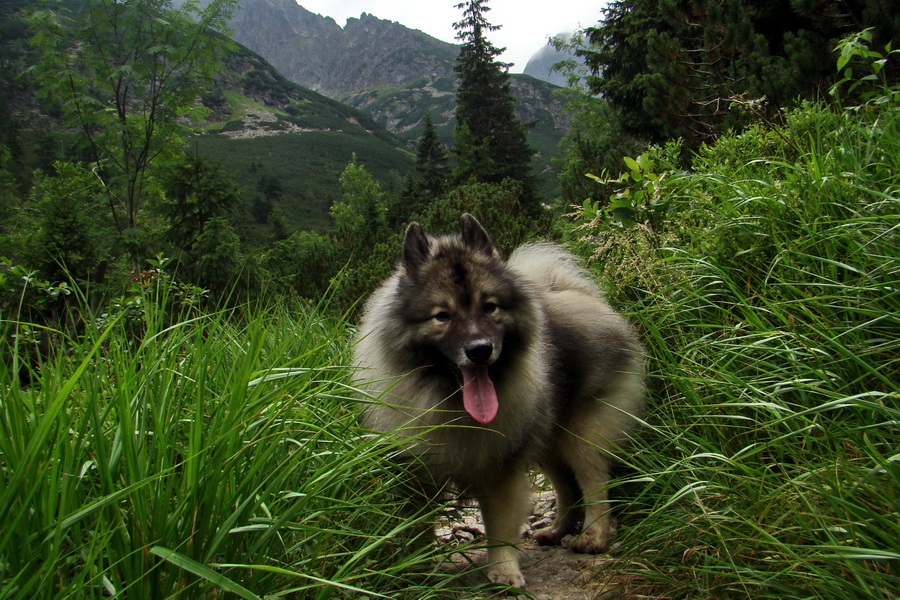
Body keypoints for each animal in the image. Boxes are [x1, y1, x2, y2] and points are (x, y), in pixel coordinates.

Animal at [348, 213, 644, 588]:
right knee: (566, 488)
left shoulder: (500, 468)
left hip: (583, 433)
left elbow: (502, 525)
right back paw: (555, 531)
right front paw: (415, 568)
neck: (451, 404)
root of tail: (577, 293)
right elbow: (416, 525)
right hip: (547, 439)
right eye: (442, 315)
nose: (479, 350)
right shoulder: (416, 470)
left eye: (489, 307)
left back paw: (593, 537)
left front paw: (503, 570)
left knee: (595, 485)